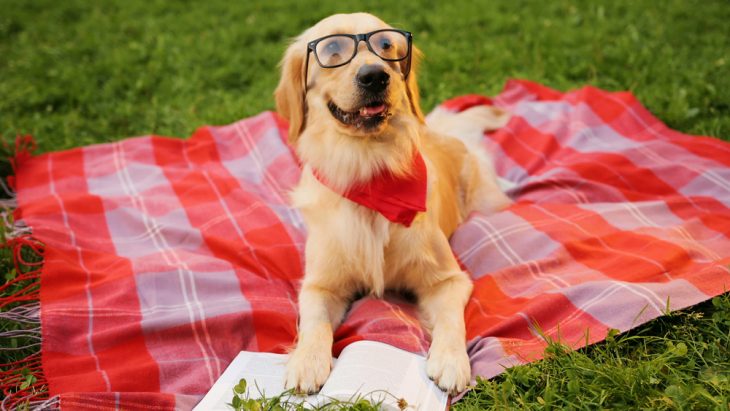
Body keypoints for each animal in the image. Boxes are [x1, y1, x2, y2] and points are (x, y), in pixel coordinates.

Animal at [276, 11, 510, 394]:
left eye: (386, 44)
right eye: (333, 49)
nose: (374, 76)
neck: (369, 167)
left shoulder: (448, 279)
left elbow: (451, 320)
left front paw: (451, 361)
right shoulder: (320, 284)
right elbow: (314, 323)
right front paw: (307, 362)